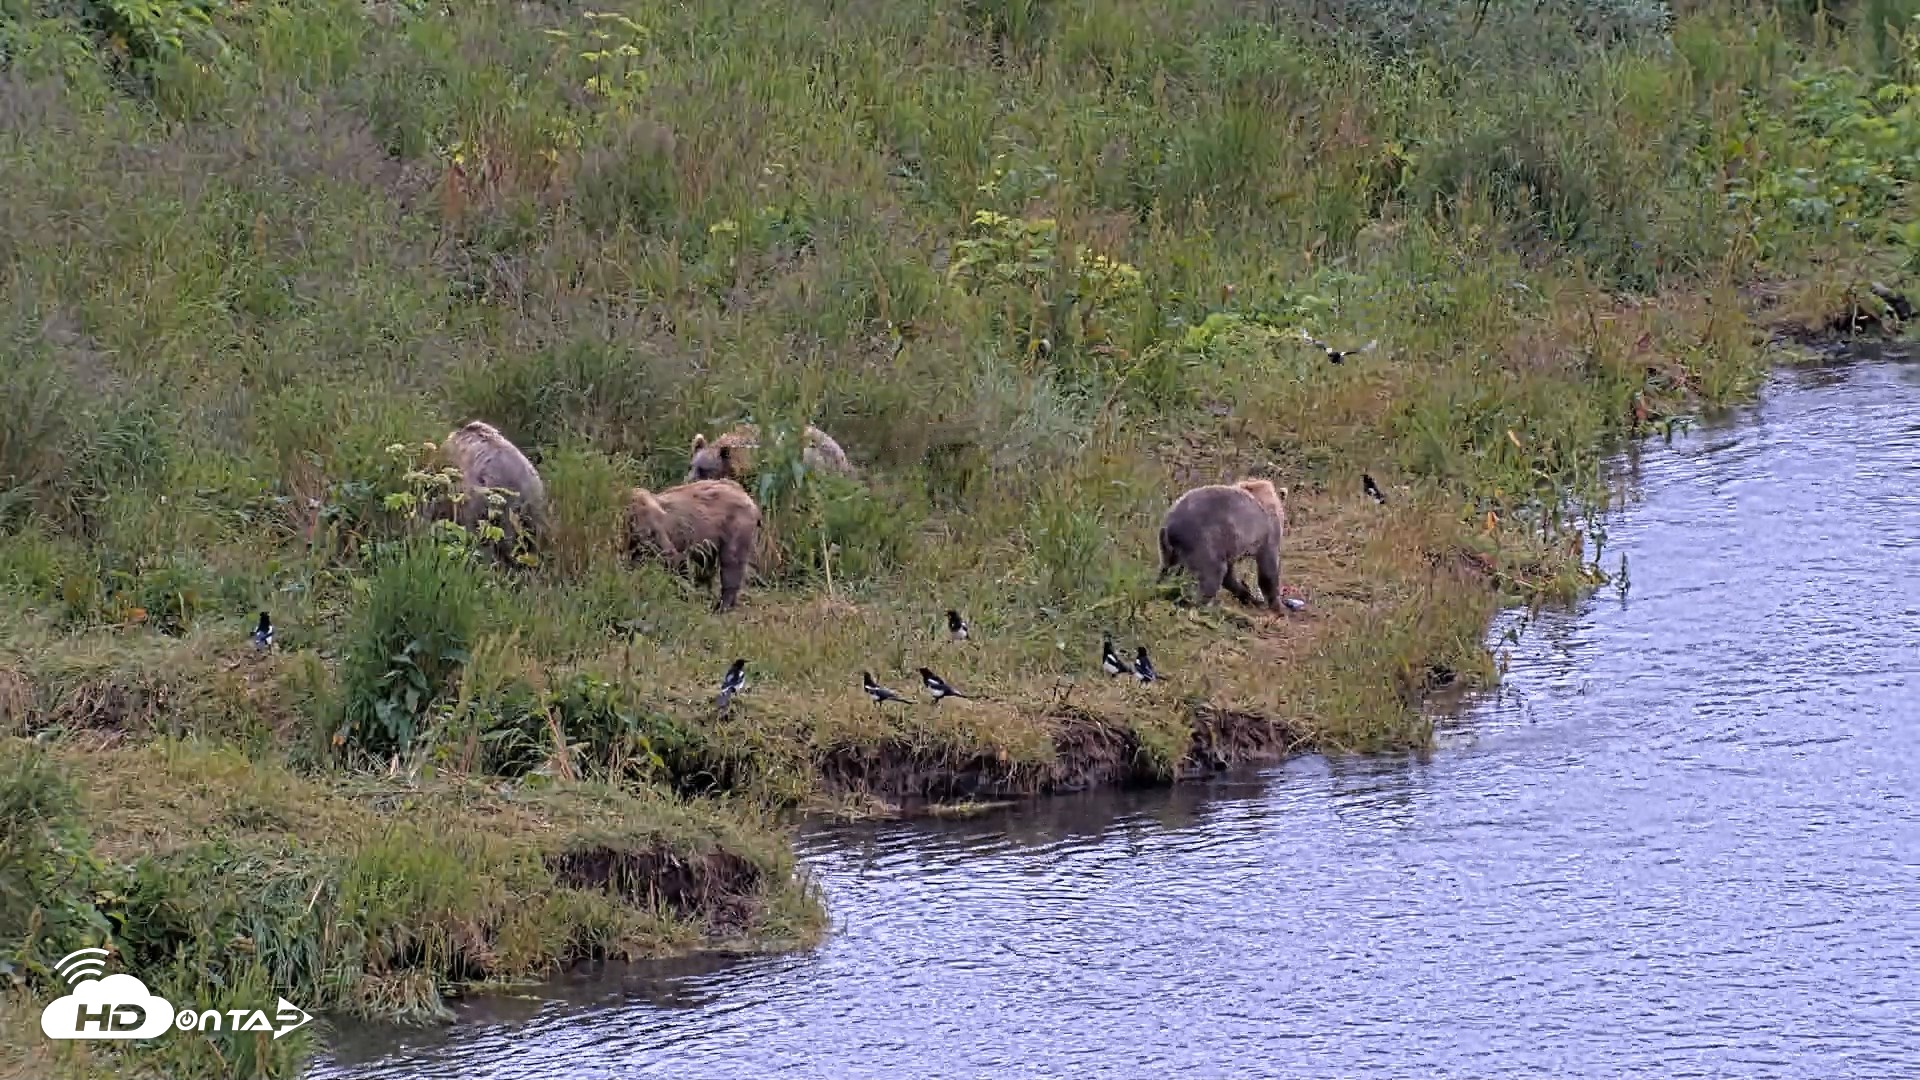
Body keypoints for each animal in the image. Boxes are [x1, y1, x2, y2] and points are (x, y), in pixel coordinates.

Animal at [624, 479, 762, 611]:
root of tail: (745, 494)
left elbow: (674, 561)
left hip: (734, 527)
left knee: (731, 563)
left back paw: (722, 605)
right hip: (711, 539)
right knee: (708, 565)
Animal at [1156, 478, 1288, 611]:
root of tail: (1169, 525)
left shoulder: (1230, 543)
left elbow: (1230, 575)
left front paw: (1249, 596)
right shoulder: (1266, 534)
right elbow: (1268, 569)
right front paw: (1277, 605)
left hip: (1168, 547)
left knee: (1166, 569)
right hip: (1202, 539)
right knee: (1212, 573)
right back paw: (1203, 605)